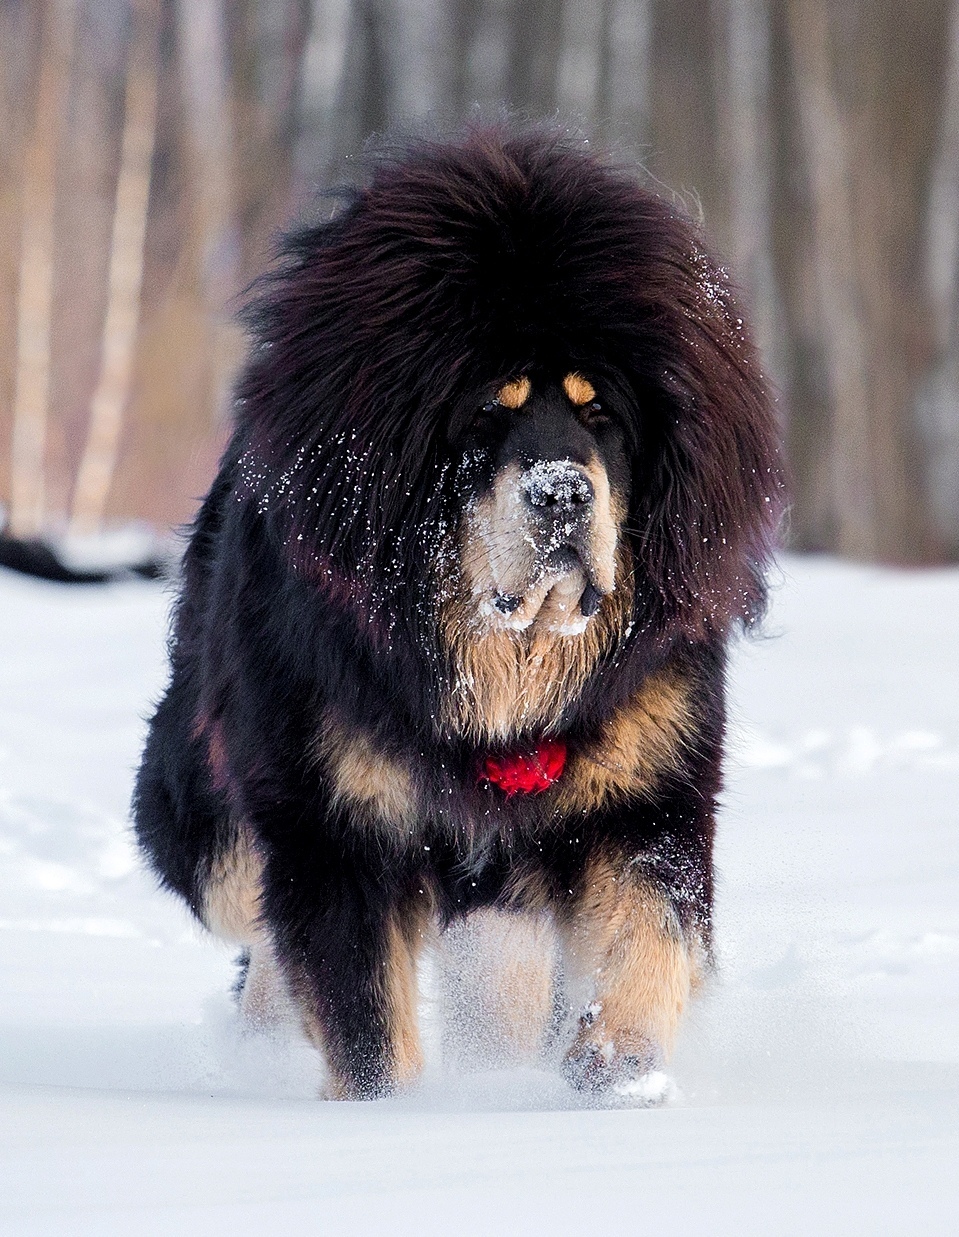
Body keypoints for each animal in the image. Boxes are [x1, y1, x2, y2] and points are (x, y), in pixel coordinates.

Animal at [133, 120, 782, 1098]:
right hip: (208, 813)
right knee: (255, 918)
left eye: (600, 413)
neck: (502, 661)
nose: (562, 492)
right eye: (485, 414)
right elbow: (361, 1013)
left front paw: (617, 1066)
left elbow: (650, 934)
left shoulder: (646, 791)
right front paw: (383, 1114)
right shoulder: (336, 823)